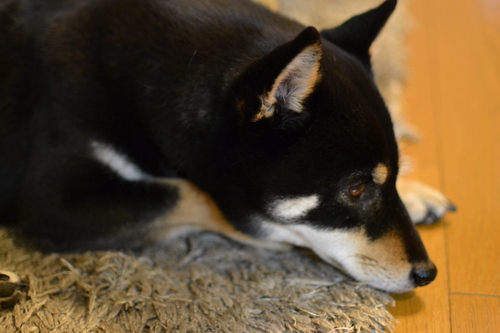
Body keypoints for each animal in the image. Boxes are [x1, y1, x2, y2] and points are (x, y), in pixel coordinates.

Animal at [0, 0, 454, 290]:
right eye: (355, 190)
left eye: (390, 176)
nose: (427, 273)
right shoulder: (53, 203)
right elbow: (189, 192)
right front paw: (264, 232)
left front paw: (413, 192)